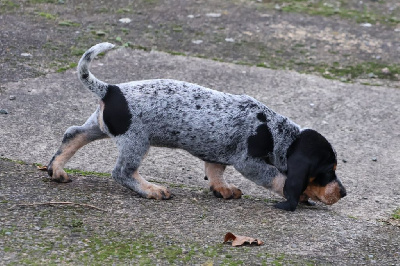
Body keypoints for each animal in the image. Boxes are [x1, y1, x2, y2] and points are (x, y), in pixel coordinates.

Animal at [47, 42, 346, 211]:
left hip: (100, 126)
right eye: (327, 171)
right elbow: (278, 179)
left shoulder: (218, 153)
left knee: (72, 134)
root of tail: (111, 89)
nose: (343, 193)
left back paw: (57, 169)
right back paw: (152, 190)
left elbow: (215, 171)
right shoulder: (248, 162)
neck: (277, 133)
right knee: (122, 172)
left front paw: (222, 189)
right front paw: (300, 194)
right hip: (136, 141)